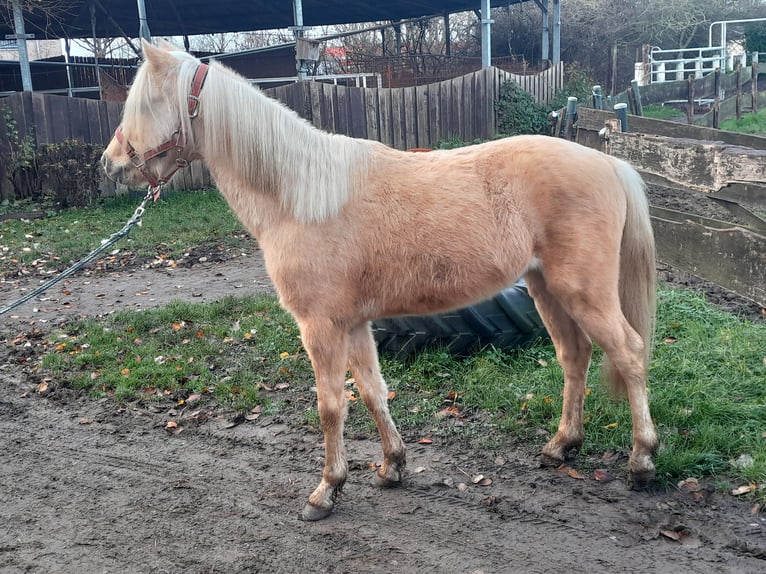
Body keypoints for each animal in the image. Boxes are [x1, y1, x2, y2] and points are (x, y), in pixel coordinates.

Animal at [102, 39, 658, 521]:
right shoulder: (353, 324)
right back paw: (562, 446)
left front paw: (326, 490)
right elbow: (373, 392)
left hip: (583, 292)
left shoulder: (320, 328)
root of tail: (610, 163)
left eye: (146, 101)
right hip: (547, 290)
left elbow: (331, 407)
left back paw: (642, 461)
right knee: (575, 357)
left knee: (629, 354)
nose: (110, 164)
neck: (299, 194)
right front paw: (392, 466)